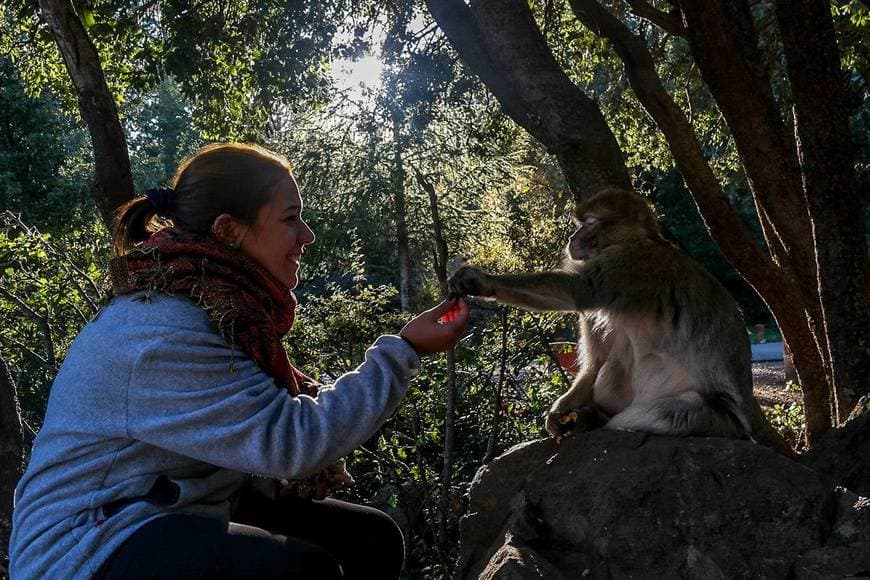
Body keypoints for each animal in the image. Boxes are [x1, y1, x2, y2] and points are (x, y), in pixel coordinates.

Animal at [446, 188, 772, 442]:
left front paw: (482, 281)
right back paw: (594, 415)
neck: (632, 241)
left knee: (670, 413)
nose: (572, 237)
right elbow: (597, 361)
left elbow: (579, 291)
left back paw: (605, 421)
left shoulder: (629, 265)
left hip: (719, 420)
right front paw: (561, 409)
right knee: (614, 364)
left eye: (590, 223)